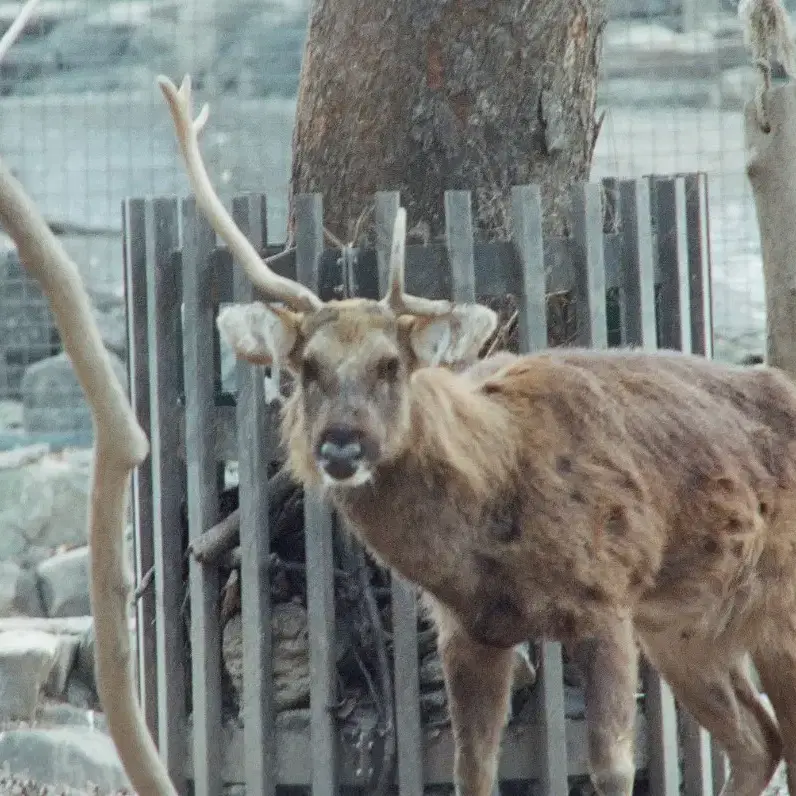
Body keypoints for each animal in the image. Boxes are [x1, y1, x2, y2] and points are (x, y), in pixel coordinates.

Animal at [160, 76, 796, 796]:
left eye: (392, 364)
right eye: (305, 369)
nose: (341, 445)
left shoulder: (608, 596)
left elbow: (611, 768)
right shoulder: (469, 629)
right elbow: (472, 771)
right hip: (690, 628)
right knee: (758, 741)